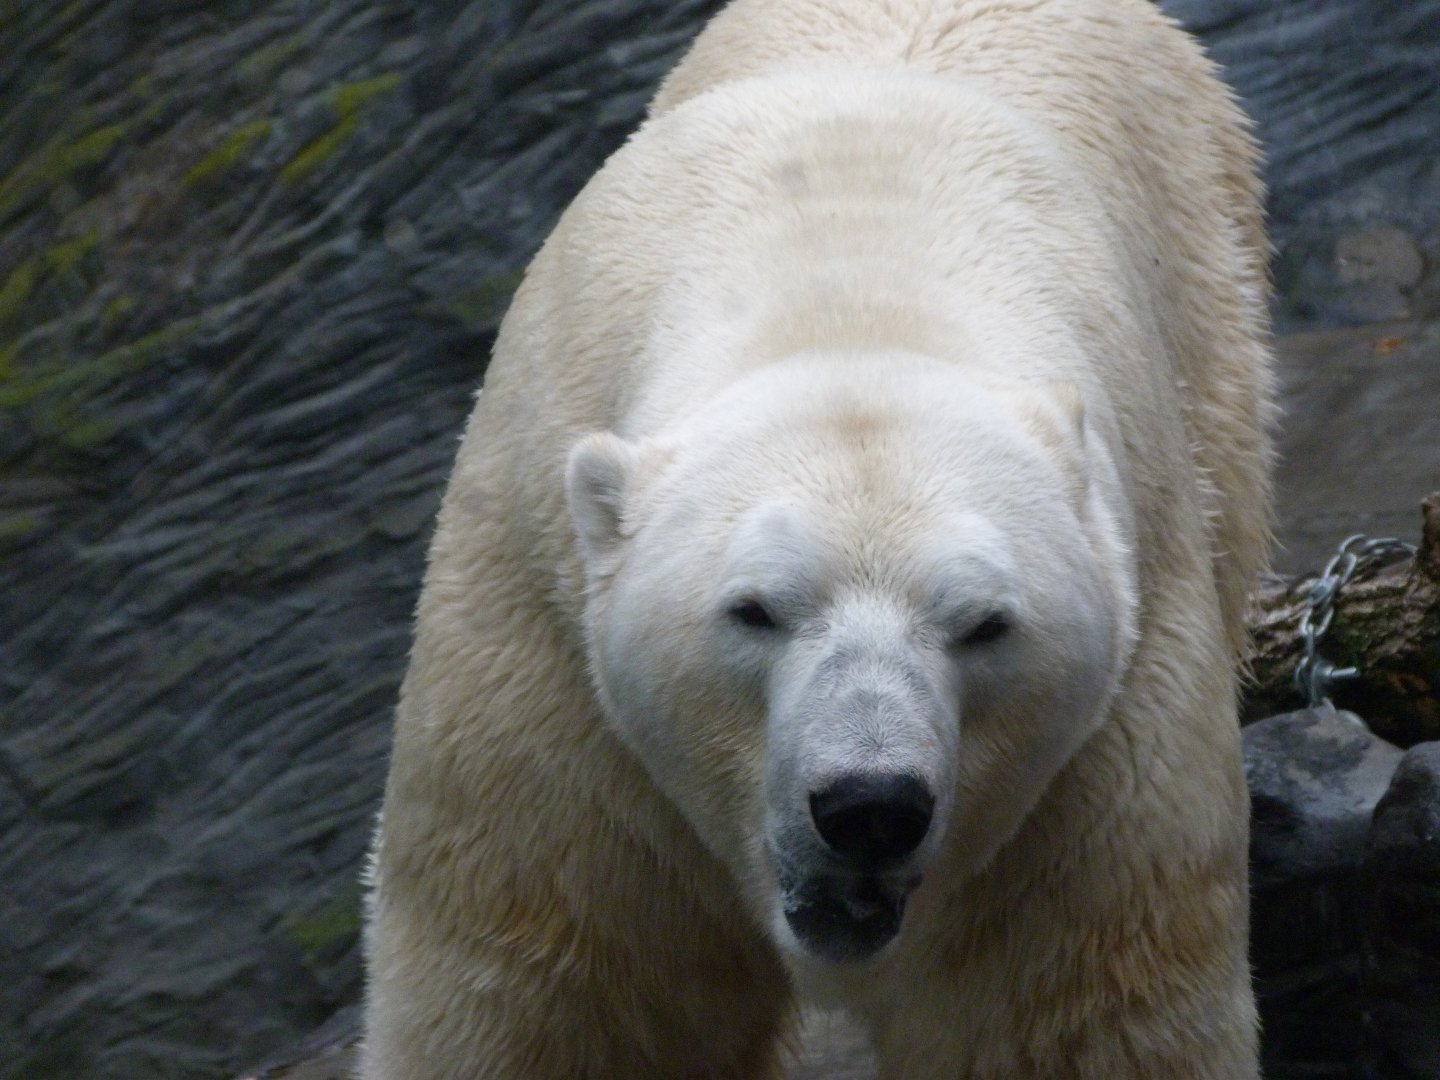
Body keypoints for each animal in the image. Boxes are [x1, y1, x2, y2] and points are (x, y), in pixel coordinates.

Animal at [360, 0, 1273, 1076]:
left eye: (985, 624)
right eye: (754, 610)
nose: (870, 806)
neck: (843, 294)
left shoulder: (1088, 771)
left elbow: (1062, 1018)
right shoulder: (551, 676)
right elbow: (555, 992)